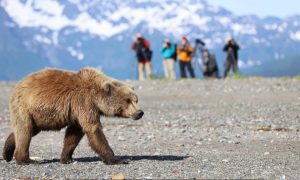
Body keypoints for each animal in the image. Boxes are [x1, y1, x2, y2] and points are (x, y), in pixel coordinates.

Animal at [1, 67, 144, 165]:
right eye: (127, 100)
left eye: (136, 100)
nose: (139, 112)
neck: (96, 96)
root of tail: (19, 84)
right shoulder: (84, 102)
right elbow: (93, 130)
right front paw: (116, 159)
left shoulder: (78, 111)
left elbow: (74, 133)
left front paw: (66, 158)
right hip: (24, 106)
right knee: (25, 130)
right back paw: (26, 160)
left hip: (37, 116)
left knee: (28, 130)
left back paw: (7, 152)